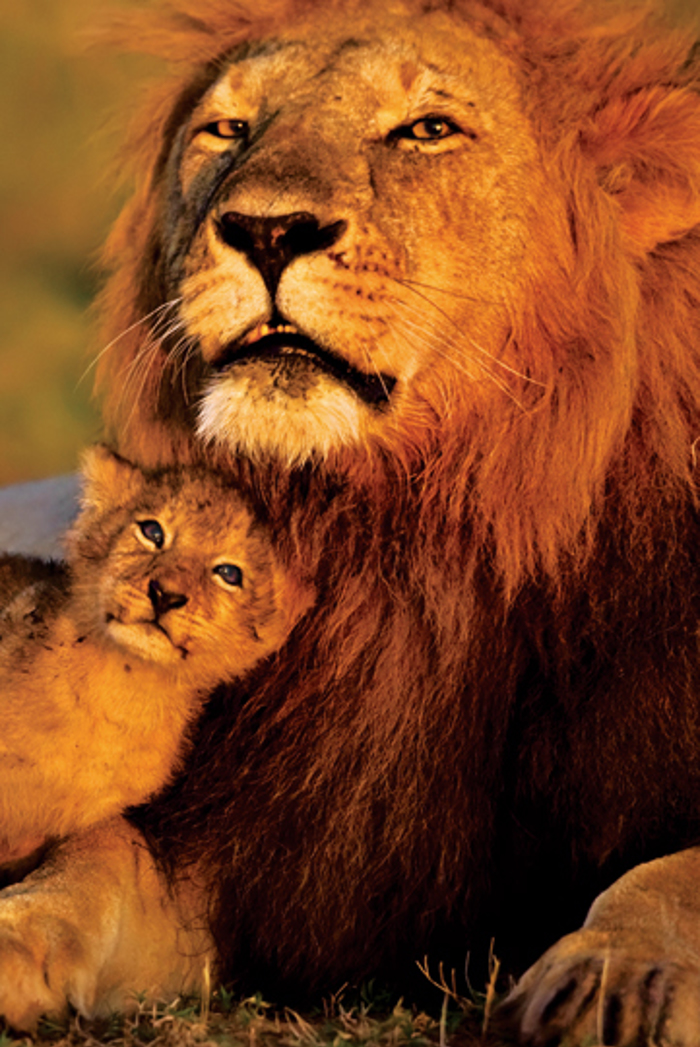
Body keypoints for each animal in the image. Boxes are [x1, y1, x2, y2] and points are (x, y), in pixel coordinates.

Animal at [2, 0, 700, 1042]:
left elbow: (673, 873)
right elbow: (90, 860)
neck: (410, 548)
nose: (266, 229)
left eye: (428, 129)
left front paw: (614, 976)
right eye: (228, 130)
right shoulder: (244, 846)